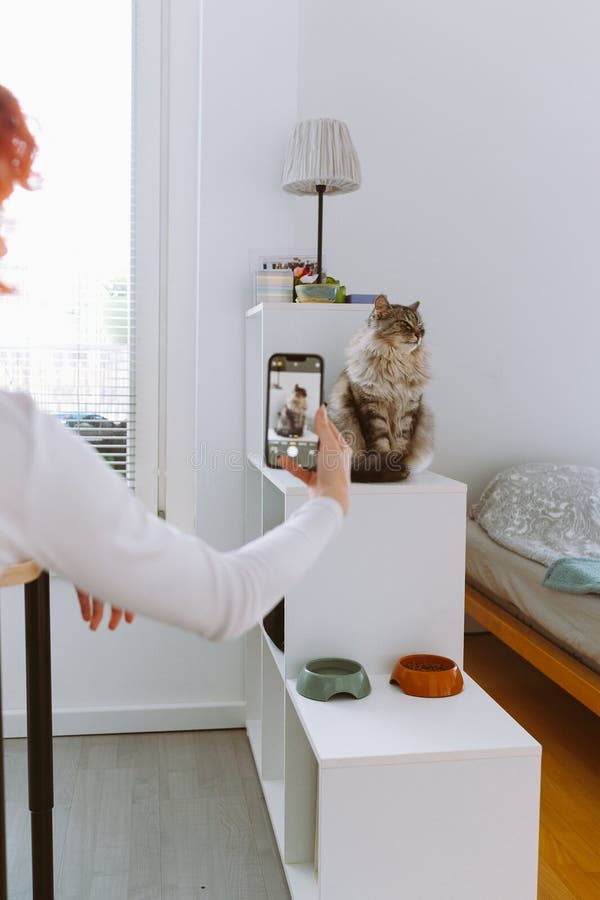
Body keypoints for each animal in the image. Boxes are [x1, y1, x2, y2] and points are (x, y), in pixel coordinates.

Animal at [326, 296, 434, 482]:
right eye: (405, 324)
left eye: (421, 327)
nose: (419, 334)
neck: (397, 364)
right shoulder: (372, 406)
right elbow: (381, 442)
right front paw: (390, 469)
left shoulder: (409, 408)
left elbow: (401, 443)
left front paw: (400, 467)